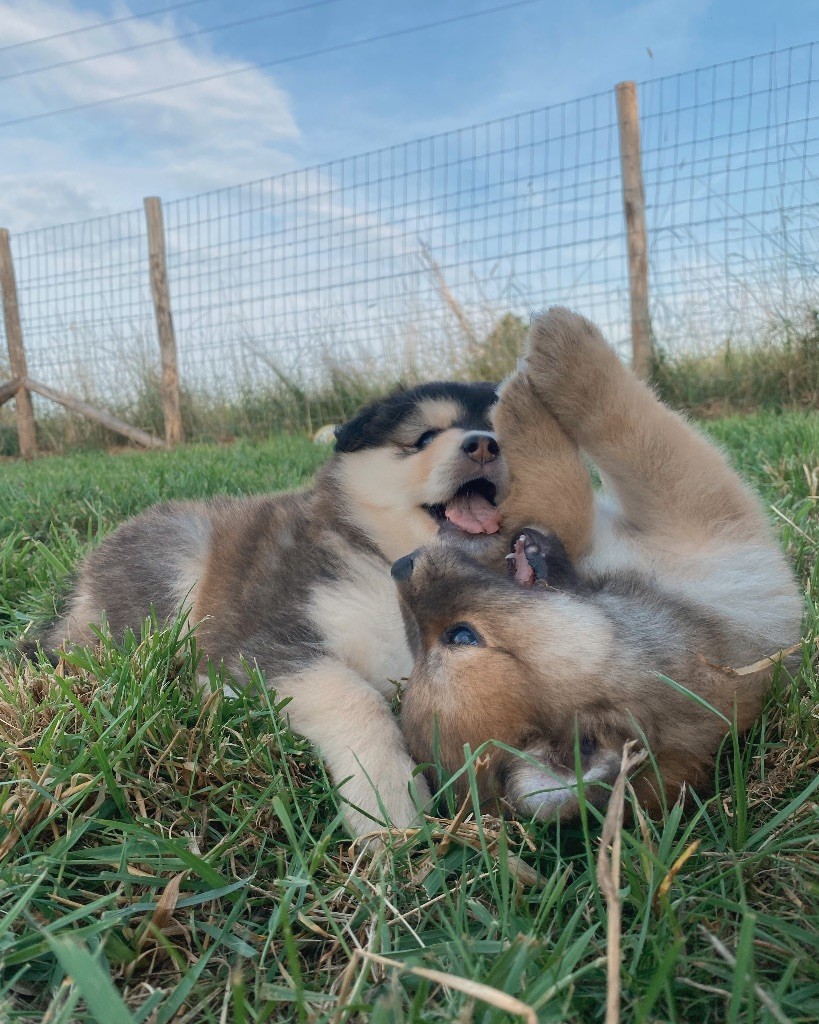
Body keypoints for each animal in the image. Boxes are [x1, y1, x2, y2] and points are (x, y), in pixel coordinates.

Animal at [44, 380, 511, 835]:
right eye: (426, 437)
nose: (484, 445)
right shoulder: (264, 638)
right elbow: (354, 696)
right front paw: (386, 800)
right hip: (176, 560)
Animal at [393, 307, 802, 819]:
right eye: (461, 636)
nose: (400, 565)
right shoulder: (700, 510)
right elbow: (624, 434)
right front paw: (560, 349)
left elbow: (554, 505)